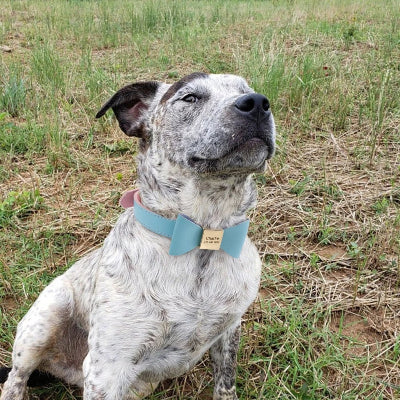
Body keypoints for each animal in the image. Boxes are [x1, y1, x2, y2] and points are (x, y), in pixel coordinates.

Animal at [0, 72, 276, 400]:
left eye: (246, 90)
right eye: (190, 97)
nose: (257, 103)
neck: (202, 236)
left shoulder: (229, 332)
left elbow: (225, 385)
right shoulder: (106, 370)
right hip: (45, 318)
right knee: (15, 378)